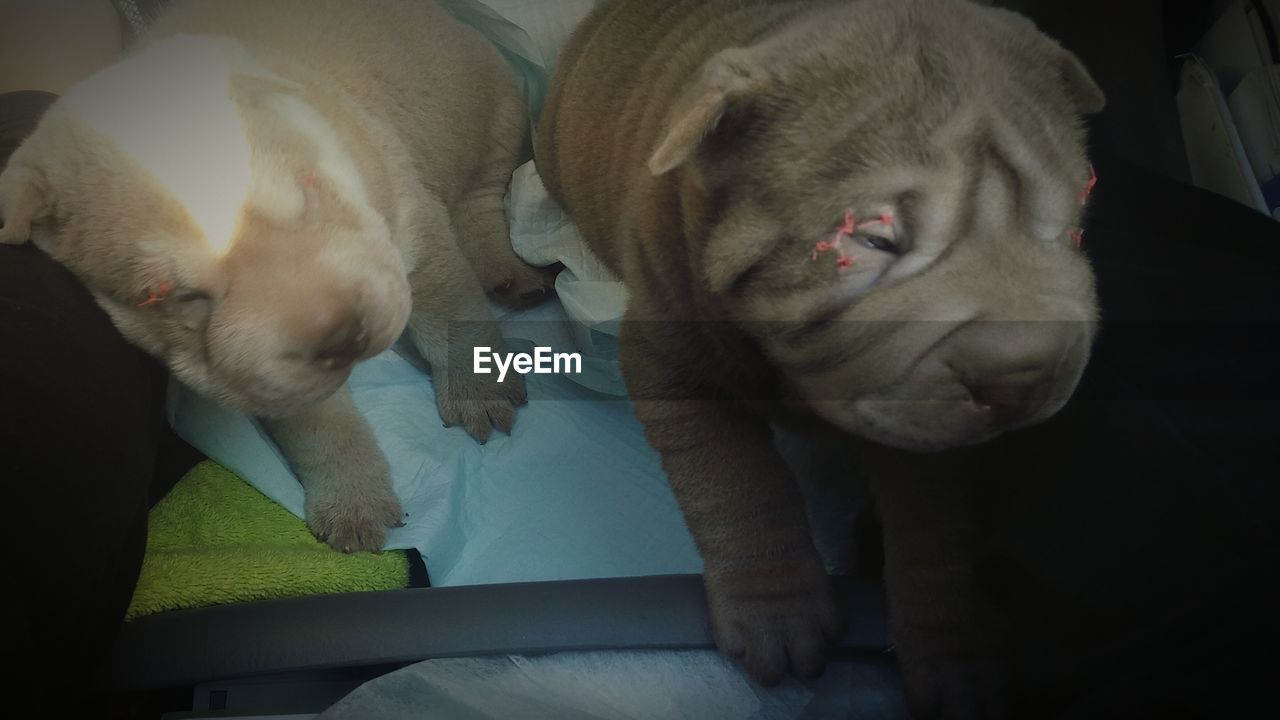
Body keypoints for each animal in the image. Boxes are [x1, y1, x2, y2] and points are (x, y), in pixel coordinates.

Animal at [0, 0, 545, 548]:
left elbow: (453, 315)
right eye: (167, 295)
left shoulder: (416, 228)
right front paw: (353, 502)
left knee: (485, 197)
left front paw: (480, 391)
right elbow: (322, 429)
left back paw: (508, 270)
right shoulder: (272, 377)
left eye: (308, 189)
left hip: (498, 112)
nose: (343, 335)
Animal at [537, 0, 1100, 707]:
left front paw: (953, 646)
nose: (1022, 372)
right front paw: (777, 613)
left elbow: (934, 519)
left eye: (1071, 227)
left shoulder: (922, 423)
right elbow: (736, 478)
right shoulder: (672, 351)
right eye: (874, 240)